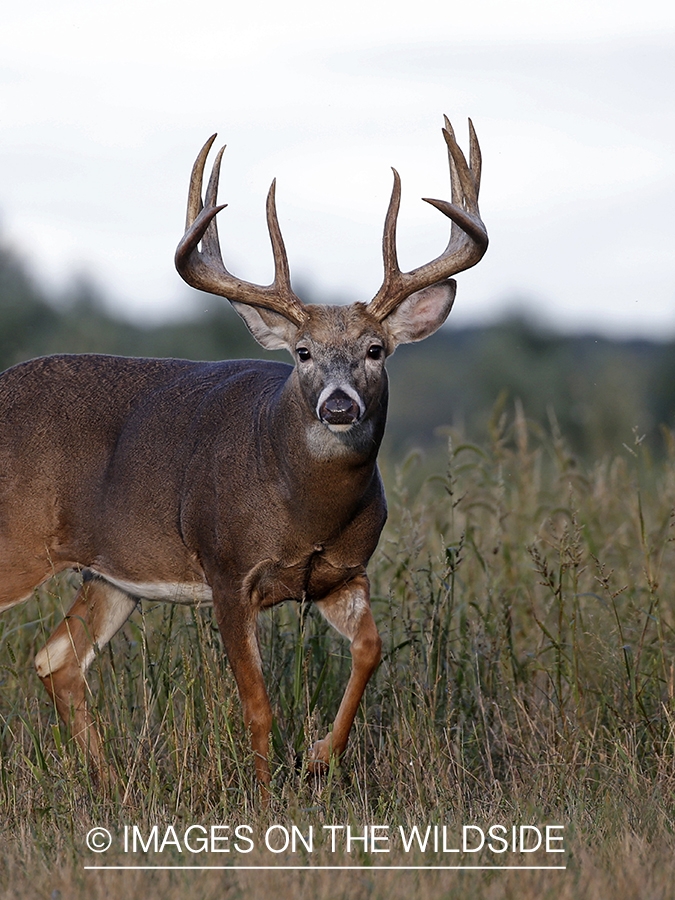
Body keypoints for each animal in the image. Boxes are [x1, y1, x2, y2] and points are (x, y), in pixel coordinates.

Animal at [0, 116, 486, 800]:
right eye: (302, 353)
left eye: (375, 350)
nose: (339, 405)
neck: (304, 508)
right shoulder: (228, 570)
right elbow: (256, 702)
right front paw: (264, 796)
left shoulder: (342, 573)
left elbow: (371, 650)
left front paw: (317, 759)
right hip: (17, 548)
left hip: (111, 574)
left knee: (56, 660)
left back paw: (113, 785)